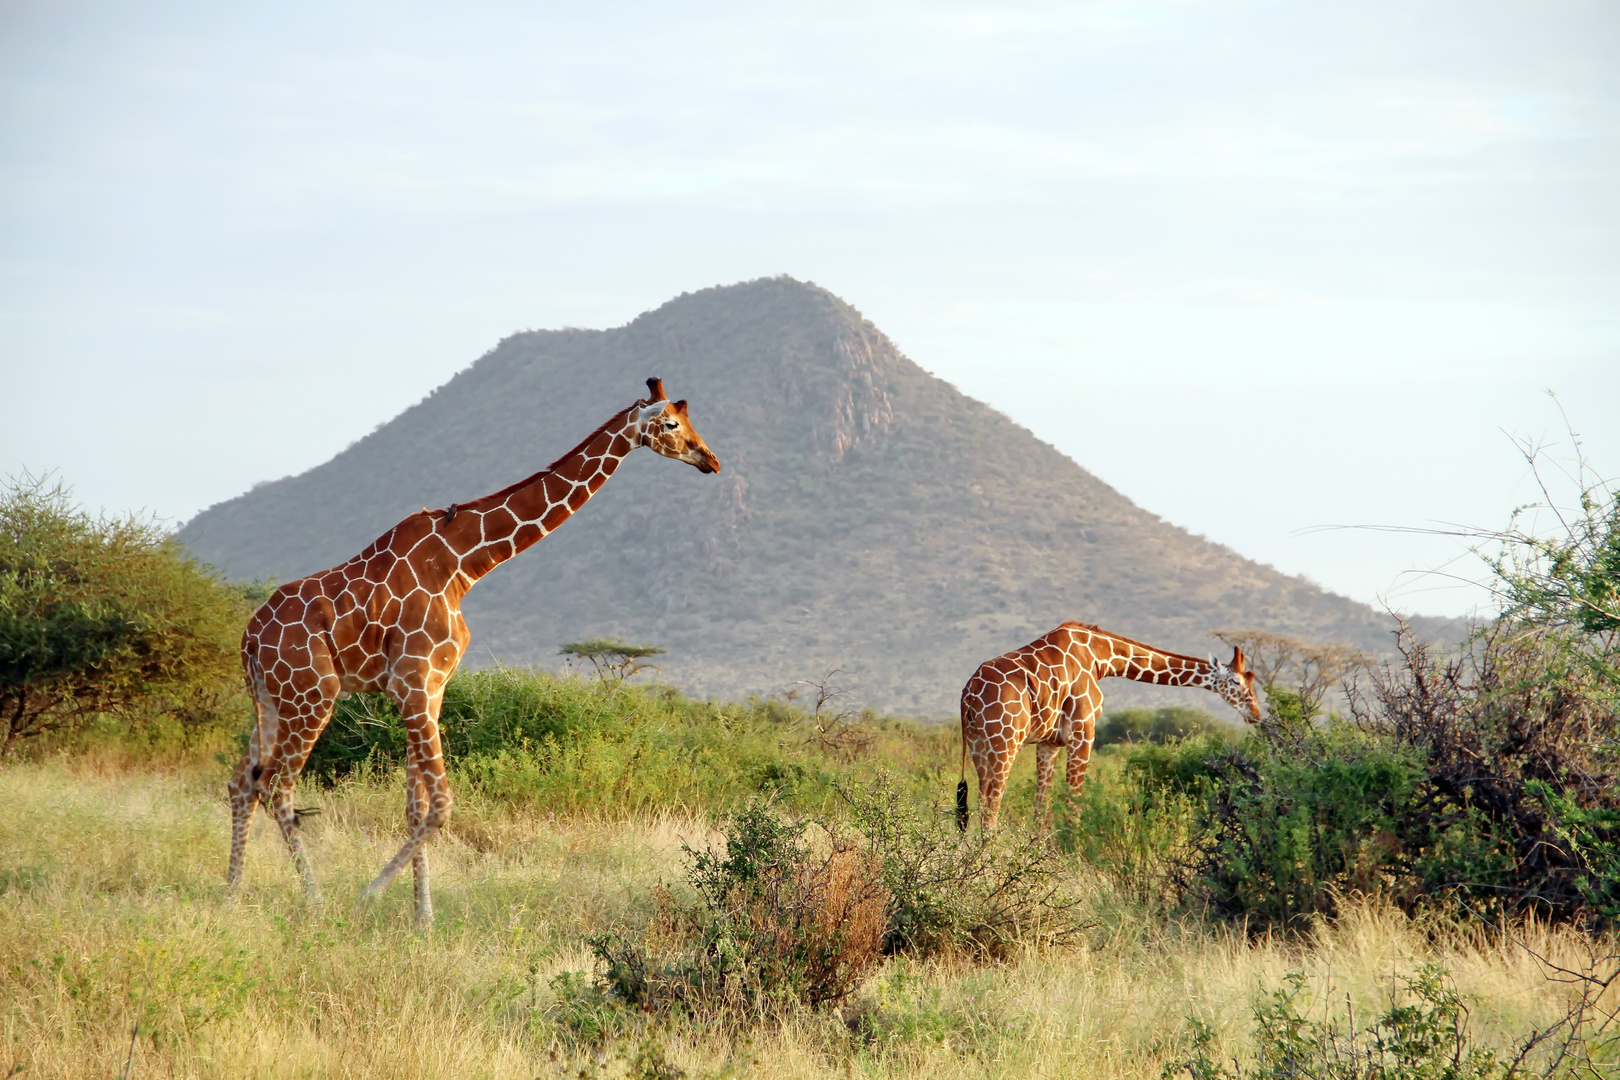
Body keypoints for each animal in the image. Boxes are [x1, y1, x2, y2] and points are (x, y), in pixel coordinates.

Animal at [225, 378, 719, 919]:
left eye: (690, 422)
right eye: (671, 423)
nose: (710, 460)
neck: (464, 564)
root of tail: (249, 638)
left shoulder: (431, 689)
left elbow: (415, 807)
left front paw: (422, 918)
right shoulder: (414, 685)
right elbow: (441, 805)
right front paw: (370, 896)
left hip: (273, 700)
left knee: (243, 781)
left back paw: (232, 891)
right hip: (313, 694)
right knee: (278, 787)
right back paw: (314, 901)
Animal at [952, 621, 1257, 835]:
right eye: (1237, 682)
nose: (1255, 714)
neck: (1102, 658)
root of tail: (969, 692)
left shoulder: (1048, 742)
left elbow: (1042, 808)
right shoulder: (1083, 730)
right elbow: (1073, 803)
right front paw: (1069, 852)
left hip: (979, 744)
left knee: (981, 801)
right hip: (1006, 741)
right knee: (991, 805)